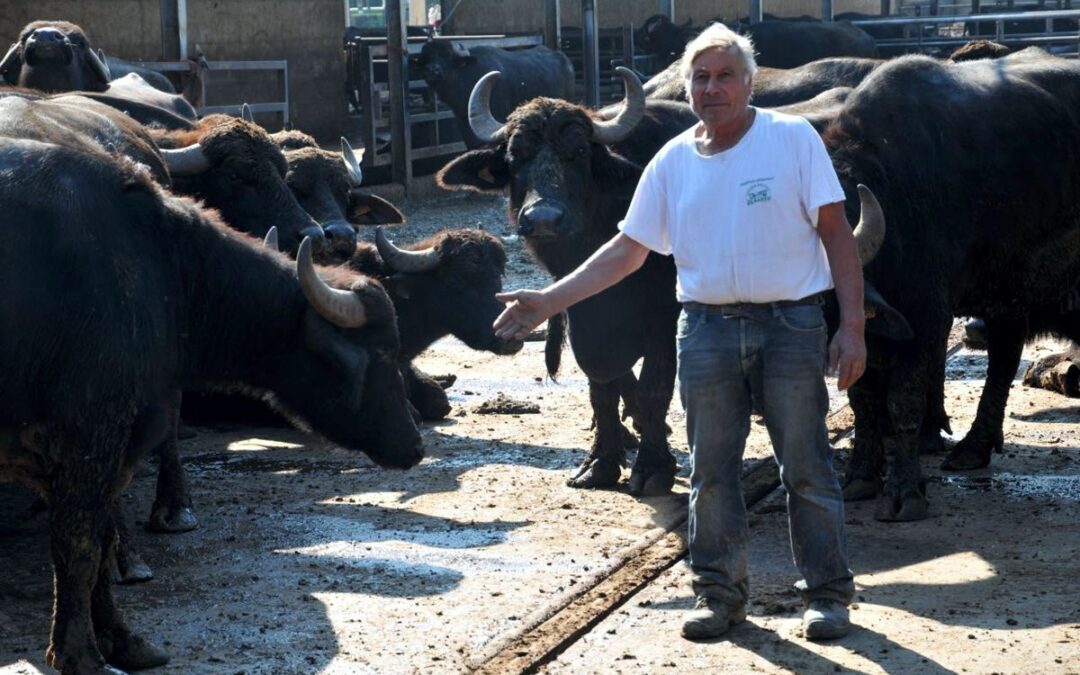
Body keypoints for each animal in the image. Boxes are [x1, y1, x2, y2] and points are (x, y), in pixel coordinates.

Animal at [0, 135, 421, 669]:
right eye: (383, 352)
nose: (414, 444)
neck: (162, 267)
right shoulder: (87, 438)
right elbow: (79, 545)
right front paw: (80, 655)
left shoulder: (120, 445)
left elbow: (102, 539)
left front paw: (125, 640)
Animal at [436, 68, 695, 494]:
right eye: (515, 157)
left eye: (580, 153)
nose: (543, 218)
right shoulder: (581, 312)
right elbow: (602, 386)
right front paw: (601, 462)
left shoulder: (664, 314)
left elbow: (654, 385)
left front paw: (653, 466)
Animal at [820, 49, 1080, 520]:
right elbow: (864, 402)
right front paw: (861, 478)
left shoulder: (926, 316)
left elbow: (902, 400)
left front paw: (905, 491)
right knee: (1003, 356)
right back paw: (974, 447)